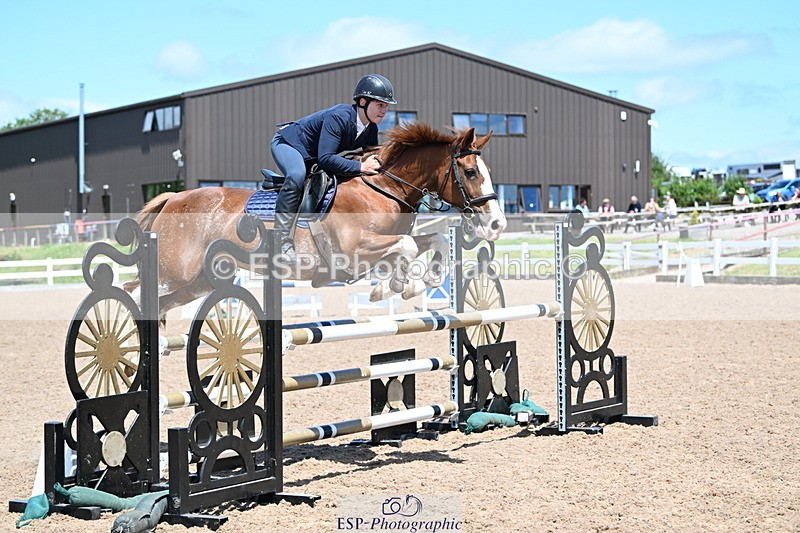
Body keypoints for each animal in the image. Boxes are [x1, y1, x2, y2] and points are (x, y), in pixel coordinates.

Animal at [124, 122, 507, 317]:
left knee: (159, 304)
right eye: (470, 172)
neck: (381, 188)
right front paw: (395, 285)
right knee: (135, 292)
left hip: (199, 281)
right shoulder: (353, 251)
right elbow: (409, 245)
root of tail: (174, 198)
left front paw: (402, 285)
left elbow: (433, 242)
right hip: (174, 272)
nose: (497, 225)